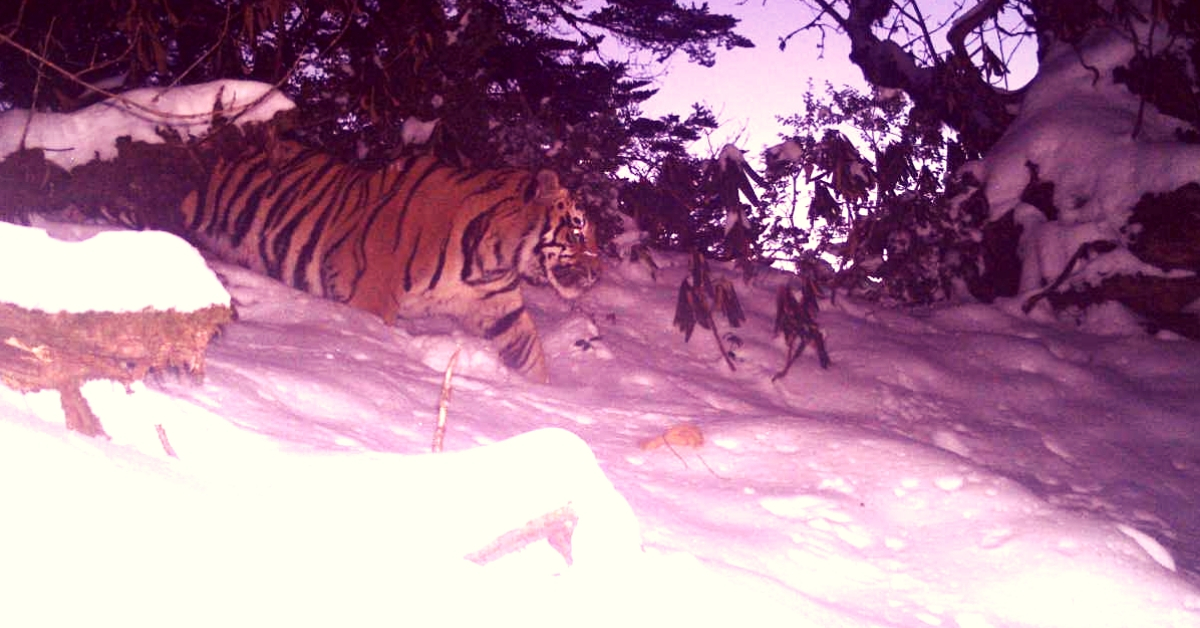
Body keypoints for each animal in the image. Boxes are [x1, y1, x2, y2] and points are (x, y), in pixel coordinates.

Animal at [175, 139, 600, 381]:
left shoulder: (499, 307)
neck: (492, 255)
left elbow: (530, 354)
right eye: (578, 230)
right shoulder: (371, 295)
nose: (598, 273)